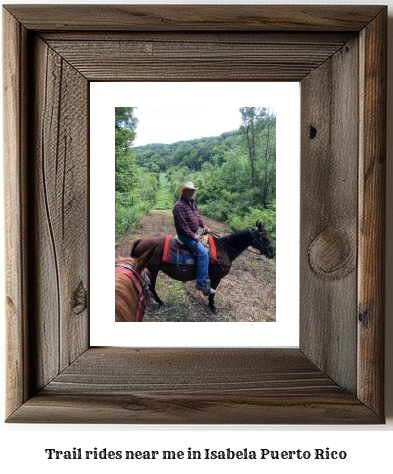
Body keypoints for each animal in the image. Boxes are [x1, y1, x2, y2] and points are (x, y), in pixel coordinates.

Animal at [130, 222, 274, 314]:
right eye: (265, 236)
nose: (273, 253)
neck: (224, 249)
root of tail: (141, 241)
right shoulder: (216, 278)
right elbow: (212, 293)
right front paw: (212, 307)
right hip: (152, 270)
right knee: (151, 287)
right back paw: (160, 302)